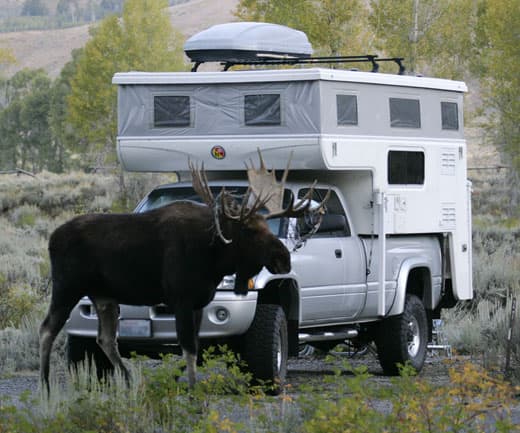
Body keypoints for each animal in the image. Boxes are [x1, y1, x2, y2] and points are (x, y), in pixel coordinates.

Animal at [39, 154, 324, 394]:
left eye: (266, 224)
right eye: (250, 230)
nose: (284, 259)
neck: (214, 259)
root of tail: (52, 238)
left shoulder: (199, 302)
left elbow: (193, 346)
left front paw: (178, 381)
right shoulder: (181, 299)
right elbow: (188, 348)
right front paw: (193, 392)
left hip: (103, 296)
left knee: (105, 339)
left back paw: (130, 380)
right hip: (67, 287)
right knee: (47, 330)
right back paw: (46, 387)